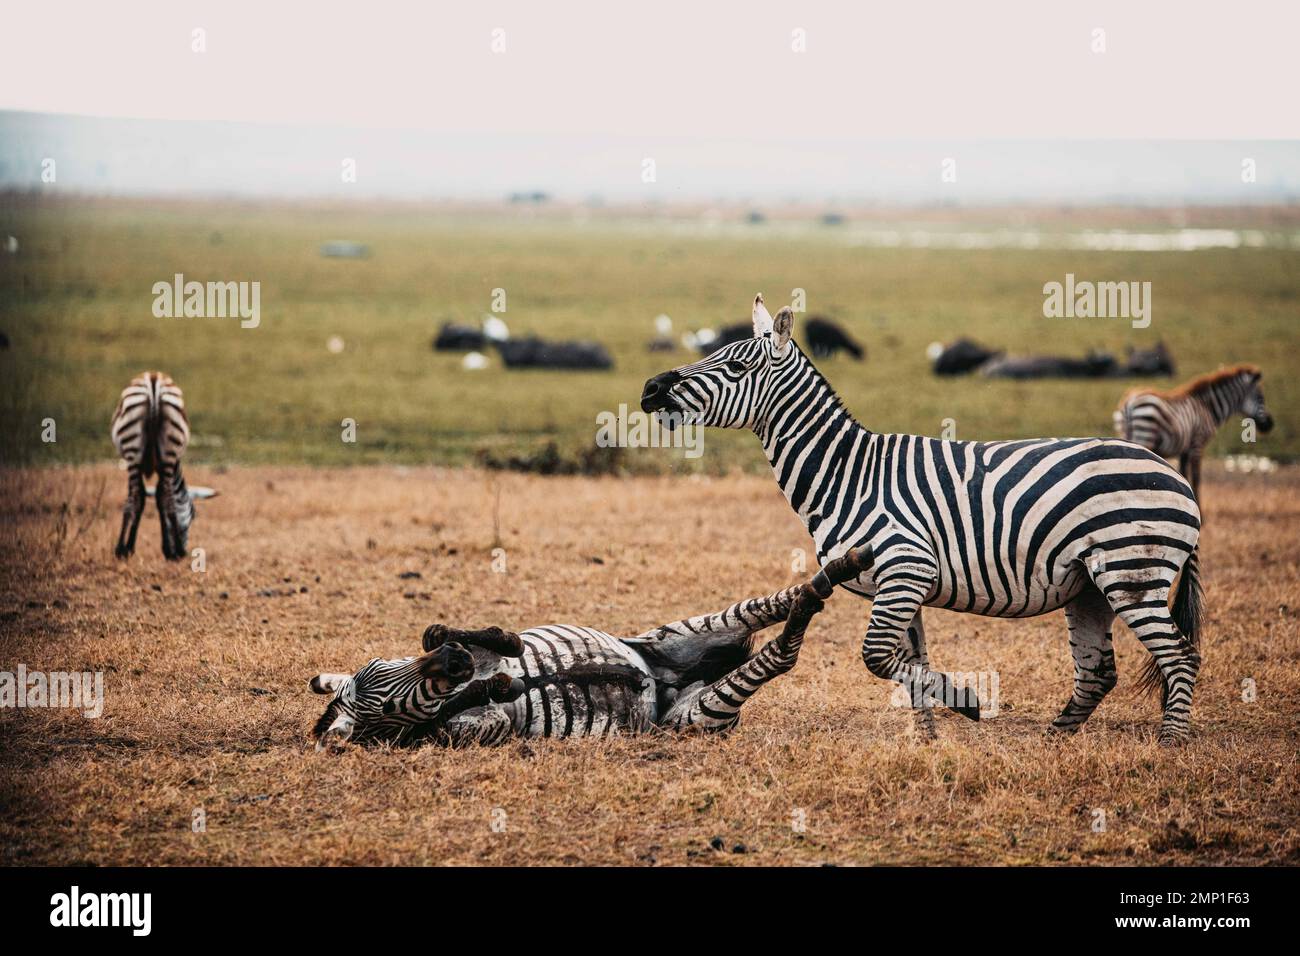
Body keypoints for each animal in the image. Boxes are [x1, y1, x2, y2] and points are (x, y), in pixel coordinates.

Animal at [110, 371, 195, 560]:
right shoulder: (163, 468)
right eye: (189, 522)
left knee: (134, 498)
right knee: (166, 499)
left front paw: (128, 547)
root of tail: (153, 379)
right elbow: (158, 497)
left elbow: (143, 497)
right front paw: (167, 548)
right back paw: (177, 551)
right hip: (168, 450)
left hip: (133, 451)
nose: (186, 544)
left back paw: (121, 549)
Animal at [310, 549, 869, 749]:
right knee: (783, 652)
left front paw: (499, 646)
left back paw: (840, 567)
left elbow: (438, 630)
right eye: (388, 708)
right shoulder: (473, 731)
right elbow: (456, 715)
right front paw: (496, 684)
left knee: (780, 600)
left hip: (672, 633)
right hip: (694, 716)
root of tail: (666, 684)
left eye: (387, 665)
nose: (456, 663)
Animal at [641, 294, 1205, 745]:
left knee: (1179, 657)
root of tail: (1175, 477)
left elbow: (875, 658)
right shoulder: (901, 584)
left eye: (736, 366)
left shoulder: (906, 566)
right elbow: (909, 668)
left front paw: (967, 702)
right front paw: (929, 742)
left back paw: (1169, 745)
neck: (848, 472)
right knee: (1098, 673)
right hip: (1088, 587)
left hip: (1131, 573)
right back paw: (1053, 740)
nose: (650, 389)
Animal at [1115, 364, 1273, 500]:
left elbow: (1184, 474)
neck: (1206, 407)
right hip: (1145, 434)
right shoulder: (1198, 443)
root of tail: (1129, 402)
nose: (1270, 424)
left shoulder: (1185, 449)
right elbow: (1197, 478)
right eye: (1261, 398)